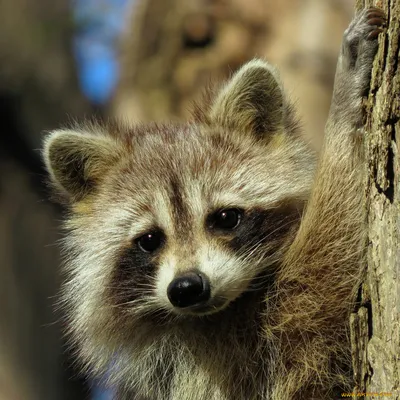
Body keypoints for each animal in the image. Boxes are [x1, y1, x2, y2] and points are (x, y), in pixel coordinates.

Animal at [43, 7, 384, 400]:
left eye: (226, 218)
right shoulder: (227, 359)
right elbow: (325, 283)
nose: (187, 288)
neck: (224, 310)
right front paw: (342, 117)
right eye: (149, 240)